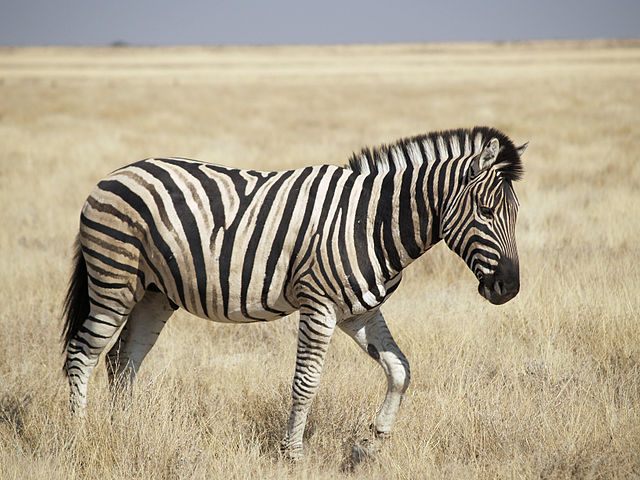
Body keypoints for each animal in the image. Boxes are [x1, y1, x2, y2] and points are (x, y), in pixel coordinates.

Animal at [62, 126, 526, 461]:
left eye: (516, 214)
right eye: (486, 212)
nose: (510, 289)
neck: (372, 222)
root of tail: (115, 174)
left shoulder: (358, 311)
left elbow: (400, 369)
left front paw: (374, 442)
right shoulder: (318, 305)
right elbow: (306, 383)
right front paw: (293, 454)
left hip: (155, 292)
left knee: (123, 361)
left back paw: (125, 431)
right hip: (114, 281)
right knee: (82, 355)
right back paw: (79, 437)